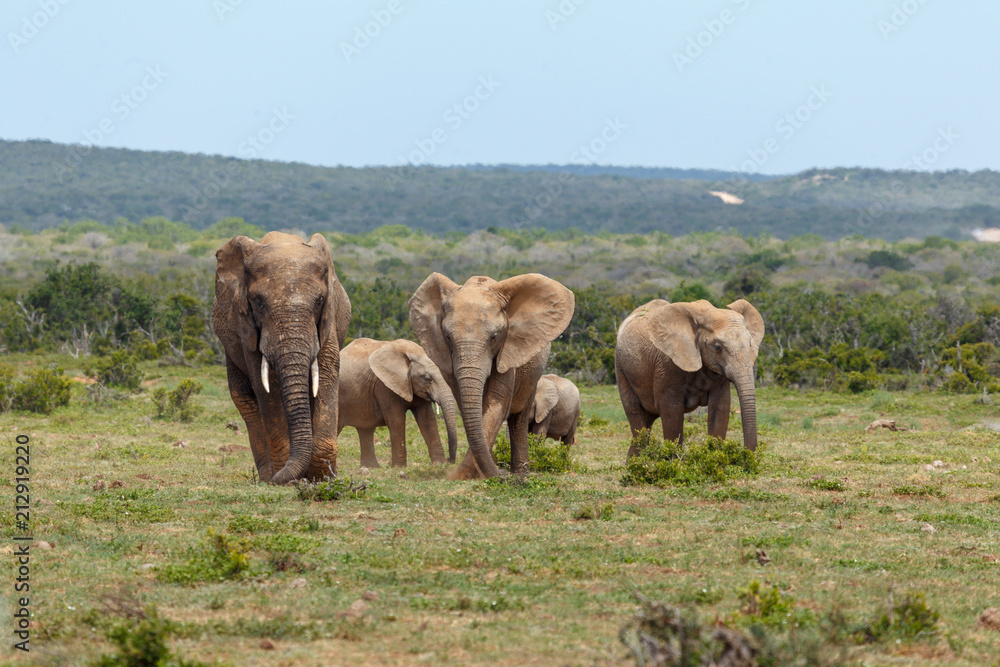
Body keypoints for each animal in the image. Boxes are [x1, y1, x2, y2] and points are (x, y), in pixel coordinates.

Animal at [213, 235, 350, 486]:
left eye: (320, 301)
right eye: (258, 303)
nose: (278, 478)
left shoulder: (329, 322)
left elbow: (326, 375)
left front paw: (323, 479)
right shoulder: (247, 327)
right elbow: (266, 389)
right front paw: (284, 479)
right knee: (245, 400)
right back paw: (268, 475)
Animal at [338, 340, 458, 470]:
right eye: (427, 378)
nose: (450, 460)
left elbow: (427, 419)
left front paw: (439, 465)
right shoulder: (383, 385)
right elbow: (396, 420)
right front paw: (399, 468)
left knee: (365, 429)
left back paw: (372, 468)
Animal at [408, 274, 580, 478]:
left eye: (494, 337)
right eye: (448, 337)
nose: (502, 475)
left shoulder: (507, 353)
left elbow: (497, 406)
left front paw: (469, 475)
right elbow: (469, 409)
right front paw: (478, 473)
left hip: (533, 376)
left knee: (519, 420)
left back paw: (521, 473)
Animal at [612, 300, 760, 456]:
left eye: (750, 343)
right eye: (718, 347)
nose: (746, 453)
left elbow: (720, 408)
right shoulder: (666, 365)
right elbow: (671, 412)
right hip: (621, 368)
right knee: (637, 419)